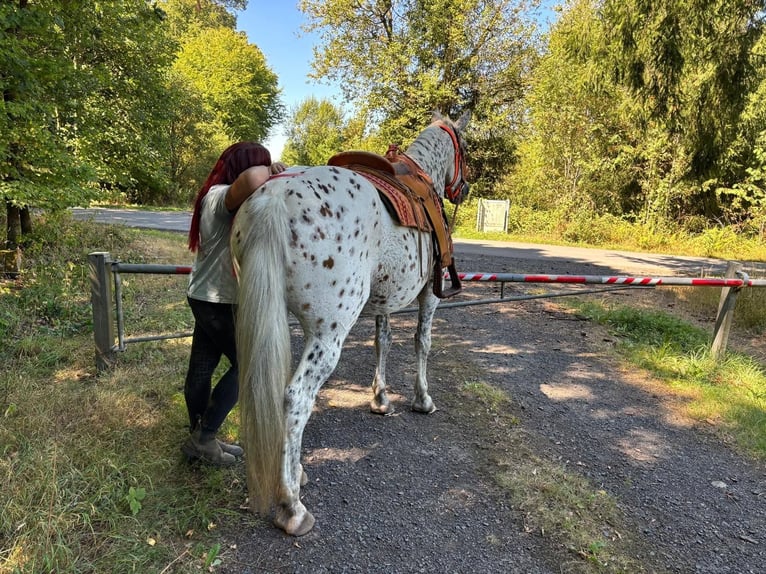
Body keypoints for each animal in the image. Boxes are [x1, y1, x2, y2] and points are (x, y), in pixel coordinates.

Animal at [230, 111, 471, 536]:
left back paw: (295, 473)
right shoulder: (430, 295)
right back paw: (292, 506)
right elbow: (422, 343)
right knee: (296, 398)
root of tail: (275, 198)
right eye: (466, 148)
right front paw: (422, 400)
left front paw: (380, 399)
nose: (466, 188)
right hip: (328, 335)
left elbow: (383, 342)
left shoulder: (384, 301)